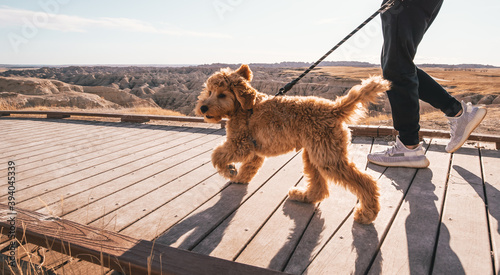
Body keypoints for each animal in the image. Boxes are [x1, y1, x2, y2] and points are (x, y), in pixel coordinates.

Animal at [195, 66, 390, 225]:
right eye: (209, 91)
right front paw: (240, 178)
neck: (245, 107)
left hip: (328, 158)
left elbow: (217, 155)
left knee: (367, 182)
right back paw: (303, 196)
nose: (203, 108)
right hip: (314, 153)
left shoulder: (240, 144)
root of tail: (335, 109)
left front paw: (229, 170)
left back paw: (367, 214)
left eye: (222, 94)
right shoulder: (255, 150)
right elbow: (249, 166)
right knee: (319, 187)